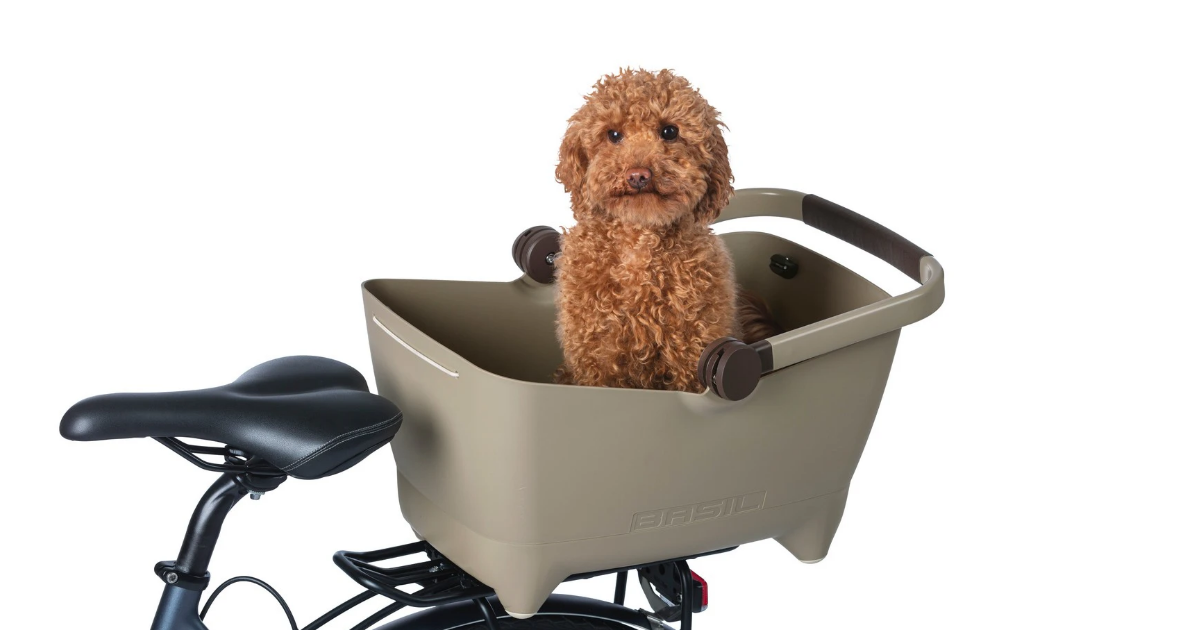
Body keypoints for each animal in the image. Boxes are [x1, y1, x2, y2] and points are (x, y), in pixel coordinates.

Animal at [551, 70, 777, 393]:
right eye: (613, 135)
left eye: (670, 131)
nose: (638, 175)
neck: (641, 242)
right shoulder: (598, 359)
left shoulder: (692, 352)